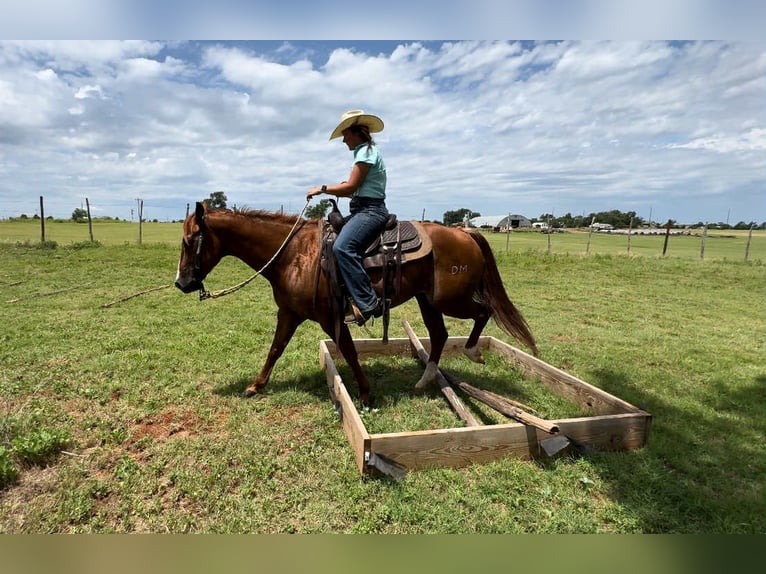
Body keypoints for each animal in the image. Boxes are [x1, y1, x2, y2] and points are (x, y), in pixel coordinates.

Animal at [175, 201, 537, 406]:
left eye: (190, 241)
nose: (181, 282)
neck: (294, 253)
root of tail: (465, 234)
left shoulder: (328, 317)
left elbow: (348, 352)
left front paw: (364, 392)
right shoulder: (289, 313)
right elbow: (275, 349)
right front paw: (255, 385)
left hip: (450, 299)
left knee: (482, 312)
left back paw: (473, 351)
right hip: (429, 301)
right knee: (439, 335)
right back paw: (424, 380)